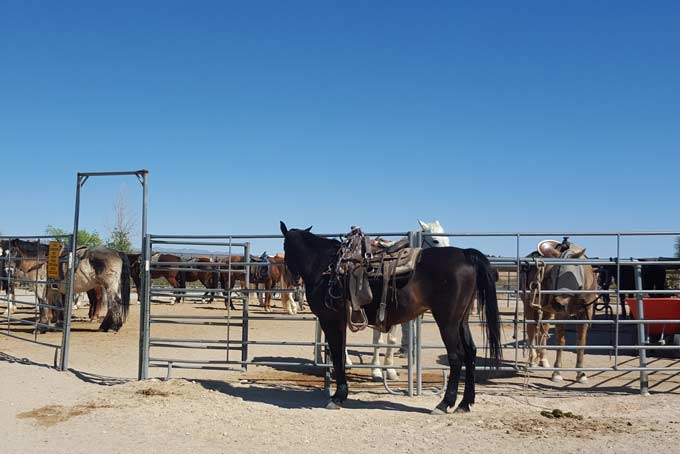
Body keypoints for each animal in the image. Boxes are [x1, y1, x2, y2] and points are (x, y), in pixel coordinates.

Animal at [280, 222, 502, 413]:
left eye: (285, 247)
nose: (293, 279)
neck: (327, 267)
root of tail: (465, 254)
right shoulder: (339, 322)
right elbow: (341, 353)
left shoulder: (330, 320)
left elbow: (337, 354)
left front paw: (338, 396)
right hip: (461, 320)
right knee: (471, 352)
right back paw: (464, 403)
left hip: (447, 321)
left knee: (457, 356)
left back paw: (445, 403)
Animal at [520, 239, 598, 383]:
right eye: (551, 276)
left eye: (572, 276)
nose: (557, 303)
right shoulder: (561, 314)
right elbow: (560, 341)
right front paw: (557, 373)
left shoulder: (585, 312)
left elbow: (581, 341)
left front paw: (581, 373)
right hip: (529, 306)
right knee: (532, 331)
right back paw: (532, 361)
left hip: (547, 311)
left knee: (543, 331)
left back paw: (543, 361)